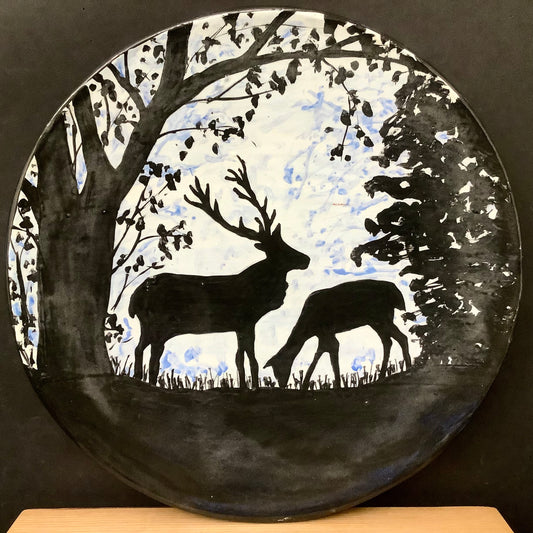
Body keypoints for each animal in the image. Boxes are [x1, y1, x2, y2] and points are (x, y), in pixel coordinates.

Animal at [128, 157, 310, 387]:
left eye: (285, 243)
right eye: (281, 250)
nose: (306, 259)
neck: (259, 294)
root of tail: (134, 298)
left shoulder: (238, 326)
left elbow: (239, 359)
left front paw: (244, 386)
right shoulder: (246, 321)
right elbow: (251, 360)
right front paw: (254, 387)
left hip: (147, 326)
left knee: (138, 349)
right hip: (160, 323)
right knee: (153, 358)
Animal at [264, 280, 411, 390]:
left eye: (277, 369)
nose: (282, 385)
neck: (308, 329)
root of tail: (396, 292)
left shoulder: (325, 332)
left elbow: (327, 351)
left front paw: (308, 385)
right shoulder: (325, 334)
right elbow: (324, 352)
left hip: (381, 317)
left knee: (401, 337)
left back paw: (409, 367)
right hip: (377, 321)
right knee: (388, 341)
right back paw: (381, 376)